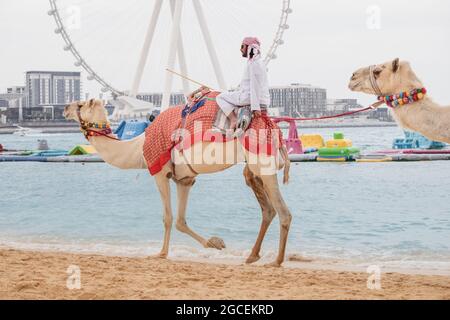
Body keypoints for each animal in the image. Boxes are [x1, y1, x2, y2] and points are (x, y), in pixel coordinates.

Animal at [65, 98, 294, 268]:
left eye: (81, 105)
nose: (66, 108)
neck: (138, 148)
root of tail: (275, 128)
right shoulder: (184, 179)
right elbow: (180, 221)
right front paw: (215, 243)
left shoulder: (160, 172)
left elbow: (168, 218)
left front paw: (161, 253)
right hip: (254, 168)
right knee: (268, 210)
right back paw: (253, 256)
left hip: (263, 163)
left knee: (283, 212)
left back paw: (276, 261)